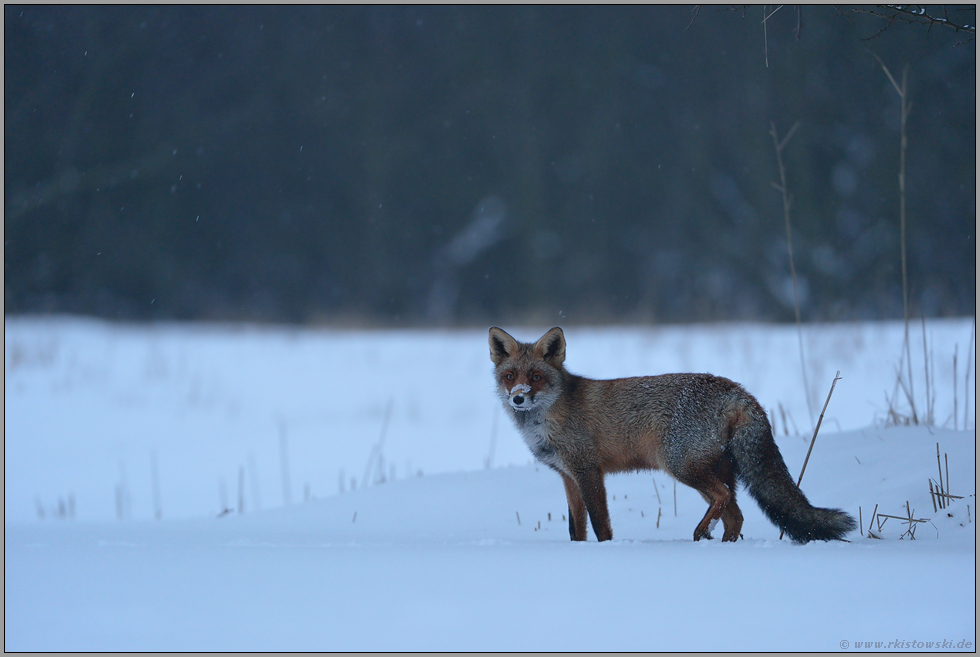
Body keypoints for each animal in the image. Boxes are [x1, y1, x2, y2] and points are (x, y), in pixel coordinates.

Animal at [486, 324, 852, 544]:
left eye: (536, 377)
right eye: (510, 377)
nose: (518, 398)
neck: (548, 419)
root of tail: (737, 390)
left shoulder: (588, 471)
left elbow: (600, 524)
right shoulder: (567, 476)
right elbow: (576, 527)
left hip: (681, 466)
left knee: (723, 498)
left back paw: (701, 532)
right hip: (713, 471)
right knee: (736, 517)